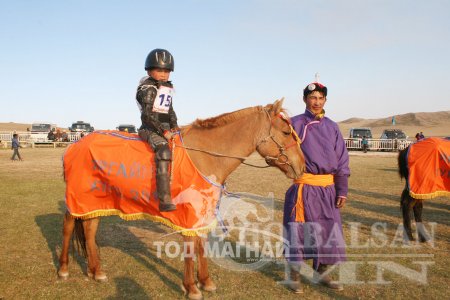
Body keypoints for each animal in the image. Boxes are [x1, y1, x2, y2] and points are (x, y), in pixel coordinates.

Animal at [58, 99, 306, 300]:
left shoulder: (203, 213)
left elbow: (201, 246)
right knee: (69, 226)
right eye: (286, 132)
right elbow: (190, 249)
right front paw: (192, 287)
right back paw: (63, 269)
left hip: (95, 202)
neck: (204, 156)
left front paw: (205, 282)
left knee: (89, 229)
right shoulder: (188, 215)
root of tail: (75, 144)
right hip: (77, 199)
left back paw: (96, 271)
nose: (302, 166)